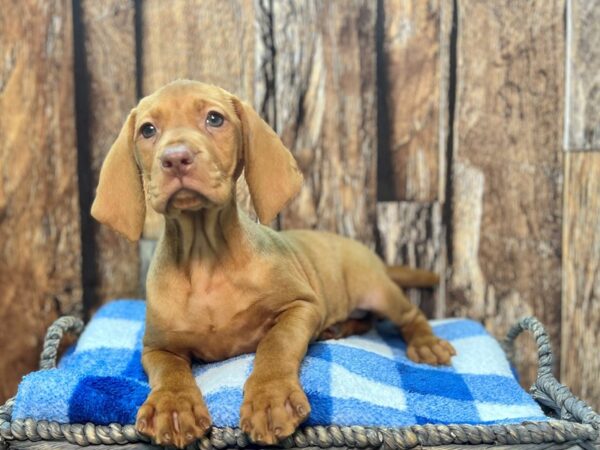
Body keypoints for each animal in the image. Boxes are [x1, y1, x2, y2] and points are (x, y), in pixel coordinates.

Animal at [91, 80, 454, 446]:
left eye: (214, 119)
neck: (205, 257)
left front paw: (269, 398)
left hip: (377, 290)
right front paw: (173, 406)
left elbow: (275, 345)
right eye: (148, 130)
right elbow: (169, 372)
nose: (176, 157)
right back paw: (338, 328)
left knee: (410, 314)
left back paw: (426, 344)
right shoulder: (157, 346)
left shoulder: (301, 306)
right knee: (365, 321)